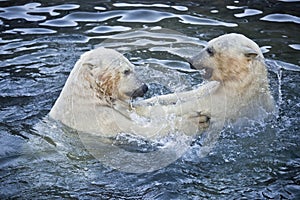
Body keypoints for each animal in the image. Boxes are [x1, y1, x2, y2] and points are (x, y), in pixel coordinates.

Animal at [48, 47, 218, 139]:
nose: (144, 87)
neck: (88, 94)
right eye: (126, 71)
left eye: (133, 68)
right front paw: (195, 121)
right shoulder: (100, 119)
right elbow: (141, 130)